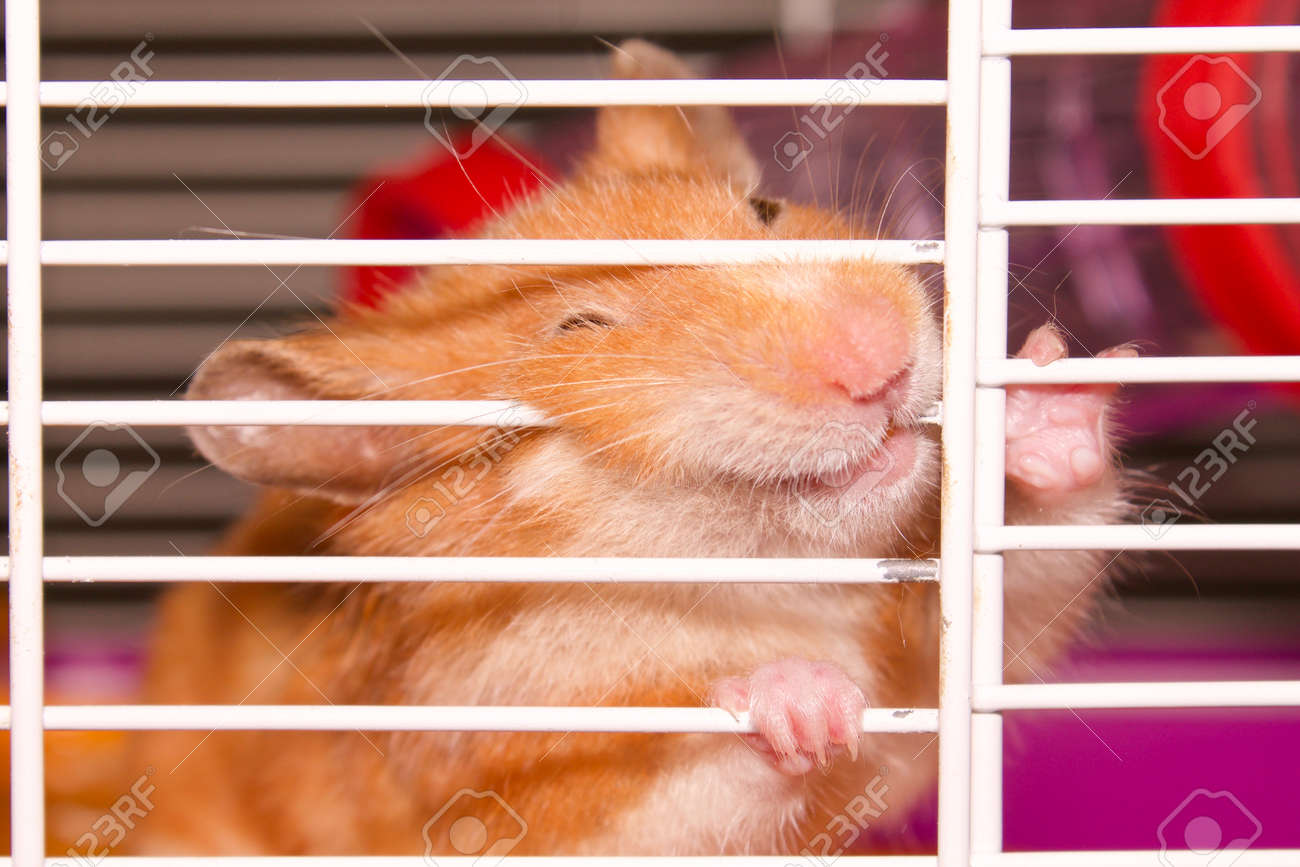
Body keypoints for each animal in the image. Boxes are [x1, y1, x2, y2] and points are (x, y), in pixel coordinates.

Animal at [121, 40, 1133, 857]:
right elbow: (676, 772)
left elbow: (1018, 589)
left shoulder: (924, 680)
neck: (767, 586)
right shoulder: (513, 786)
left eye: (766, 208)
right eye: (580, 325)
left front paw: (1043, 394)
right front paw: (804, 698)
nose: (879, 364)